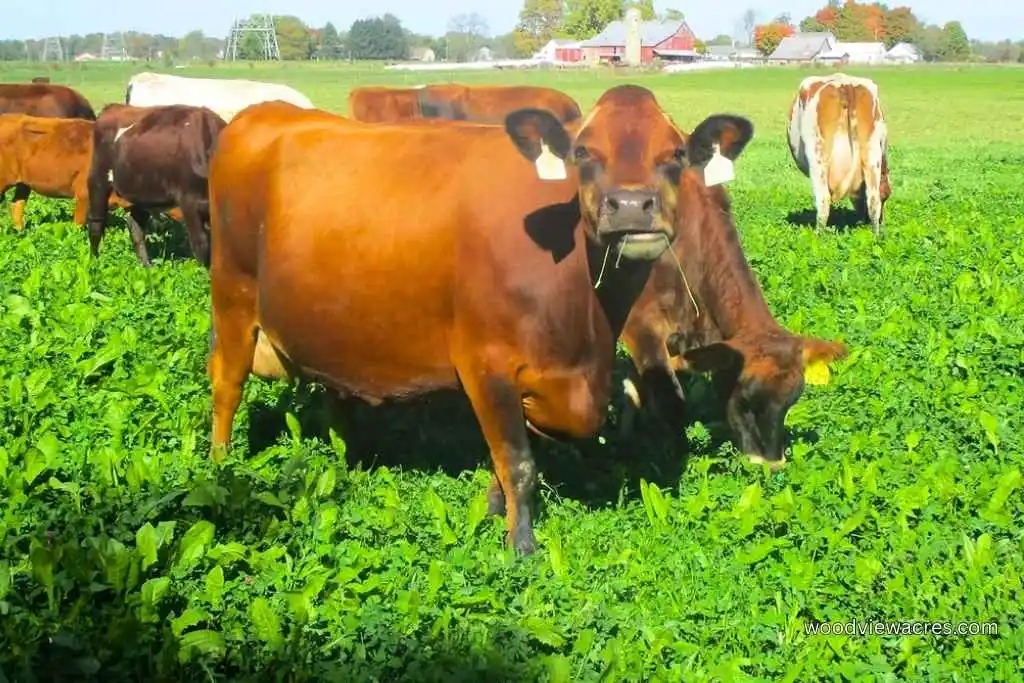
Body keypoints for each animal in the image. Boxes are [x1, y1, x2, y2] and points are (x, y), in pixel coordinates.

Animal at [86, 104, 226, 267]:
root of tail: (114, 107)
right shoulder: (190, 202)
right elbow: (202, 246)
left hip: (141, 191)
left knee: (136, 227)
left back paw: (146, 266)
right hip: (98, 179)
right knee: (96, 222)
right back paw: (94, 261)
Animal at [206, 87, 751, 554]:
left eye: (676, 154)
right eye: (582, 153)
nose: (633, 206)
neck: (585, 328)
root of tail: (263, 113)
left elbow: (512, 449)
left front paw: (492, 512)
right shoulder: (483, 363)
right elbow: (519, 461)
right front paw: (521, 545)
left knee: (334, 392)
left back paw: (352, 461)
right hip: (232, 294)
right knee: (227, 383)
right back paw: (220, 466)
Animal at [787, 73, 890, 234]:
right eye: (886, 196)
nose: (881, 221)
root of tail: (845, 85)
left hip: (817, 156)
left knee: (823, 201)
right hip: (872, 154)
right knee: (873, 200)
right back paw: (876, 234)